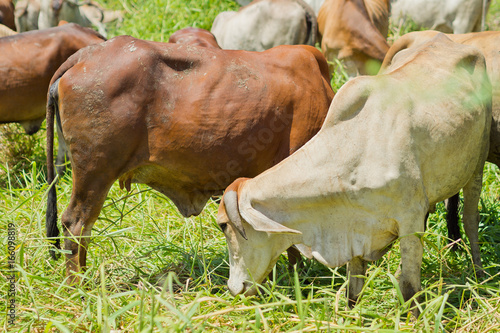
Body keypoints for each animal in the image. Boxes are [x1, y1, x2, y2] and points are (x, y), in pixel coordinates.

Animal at [217, 33, 490, 312]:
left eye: (223, 225)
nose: (233, 288)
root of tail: (445, 39)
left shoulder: (410, 220)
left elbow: (409, 288)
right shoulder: (354, 229)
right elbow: (353, 288)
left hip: (478, 162)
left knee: (470, 219)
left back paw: (479, 275)